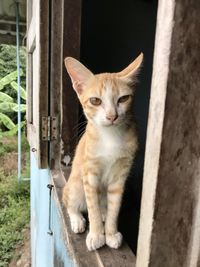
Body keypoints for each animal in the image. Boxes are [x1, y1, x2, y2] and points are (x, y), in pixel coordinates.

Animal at [61, 53, 143, 252]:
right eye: (95, 101)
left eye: (123, 99)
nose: (112, 116)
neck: (110, 137)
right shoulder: (89, 174)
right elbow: (92, 208)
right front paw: (97, 234)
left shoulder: (120, 176)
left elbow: (114, 207)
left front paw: (111, 233)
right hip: (75, 185)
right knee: (69, 201)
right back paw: (77, 219)